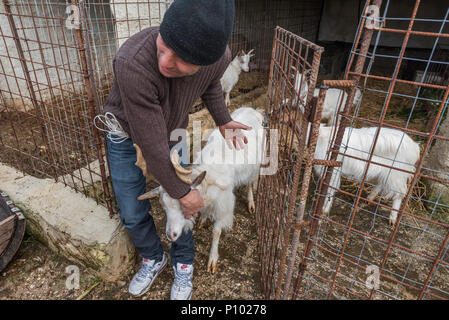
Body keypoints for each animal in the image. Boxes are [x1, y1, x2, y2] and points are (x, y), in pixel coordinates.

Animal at [135, 107, 264, 272]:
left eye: (183, 205)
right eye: (163, 206)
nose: (171, 235)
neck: (208, 179)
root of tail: (253, 110)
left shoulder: (224, 203)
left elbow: (216, 231)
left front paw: (212, 260)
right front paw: (203, 218)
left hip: (255, 166)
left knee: (250, 182)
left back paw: (251, 203)